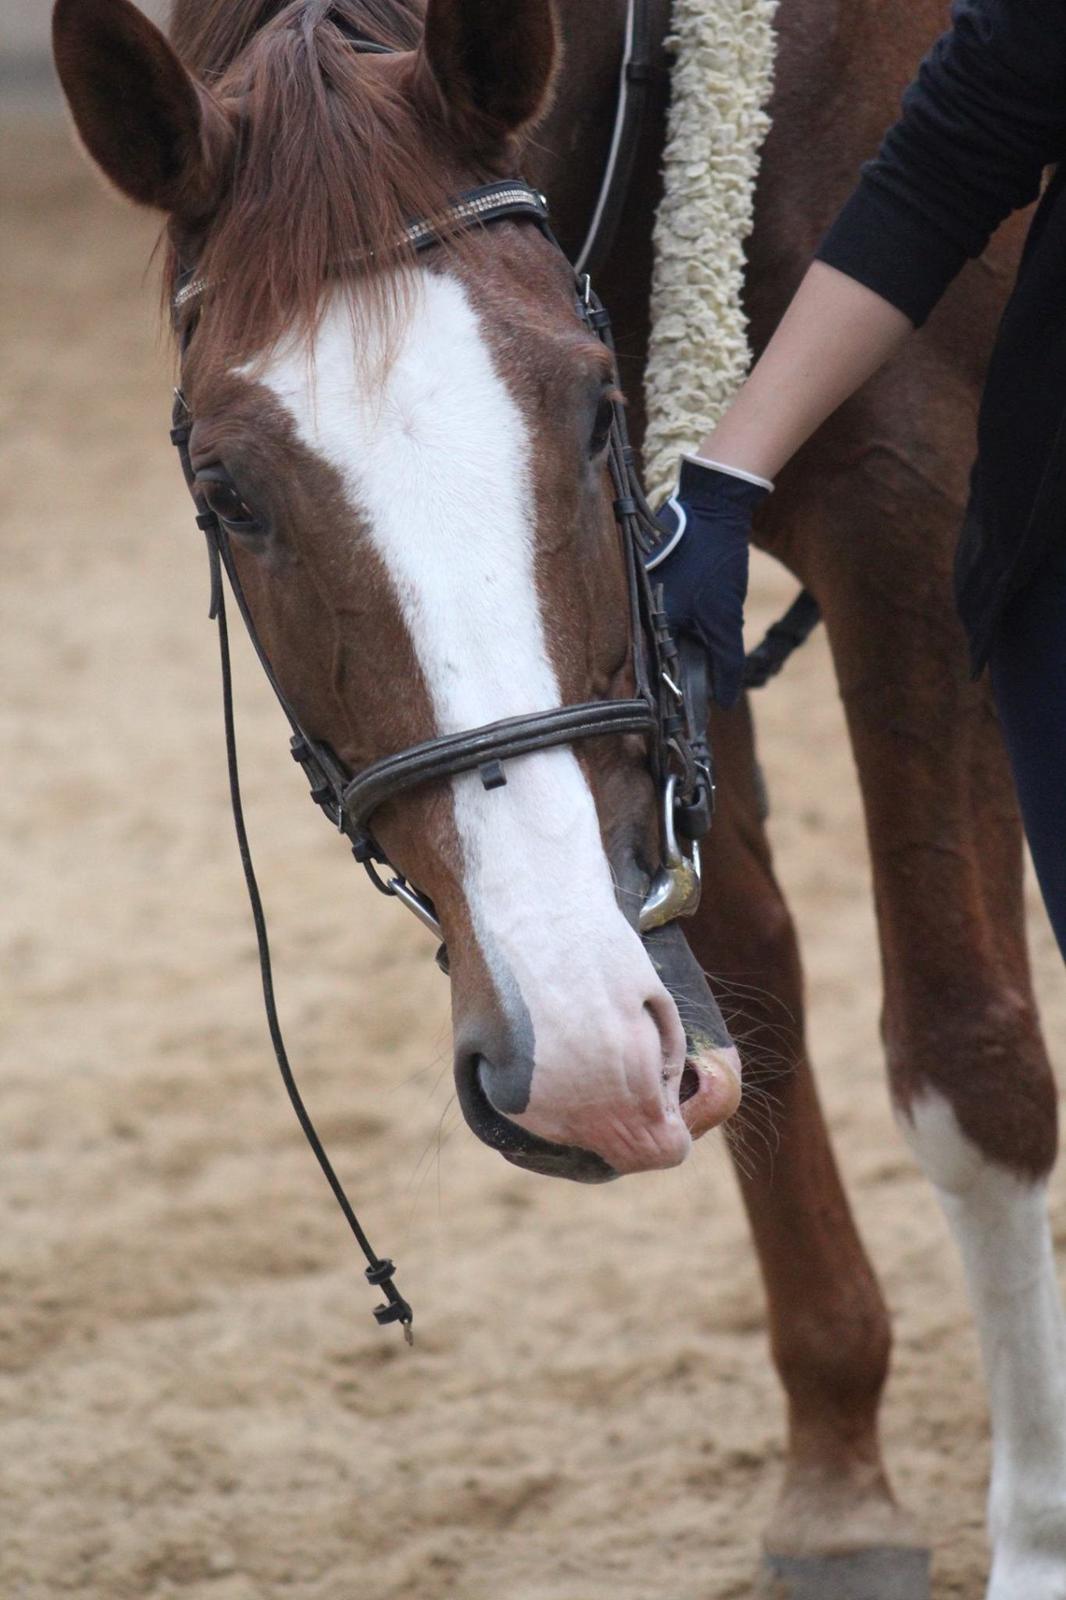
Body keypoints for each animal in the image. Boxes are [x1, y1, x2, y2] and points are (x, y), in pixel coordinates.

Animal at [52, 3, 1062, 1600]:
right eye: (225, 493)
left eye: (592, 411)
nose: (577, 1060)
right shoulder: (663, 619)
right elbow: (745, 992)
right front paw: (837, 1484)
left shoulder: (918, 511)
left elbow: (970, 1059)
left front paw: (1031, 1538)